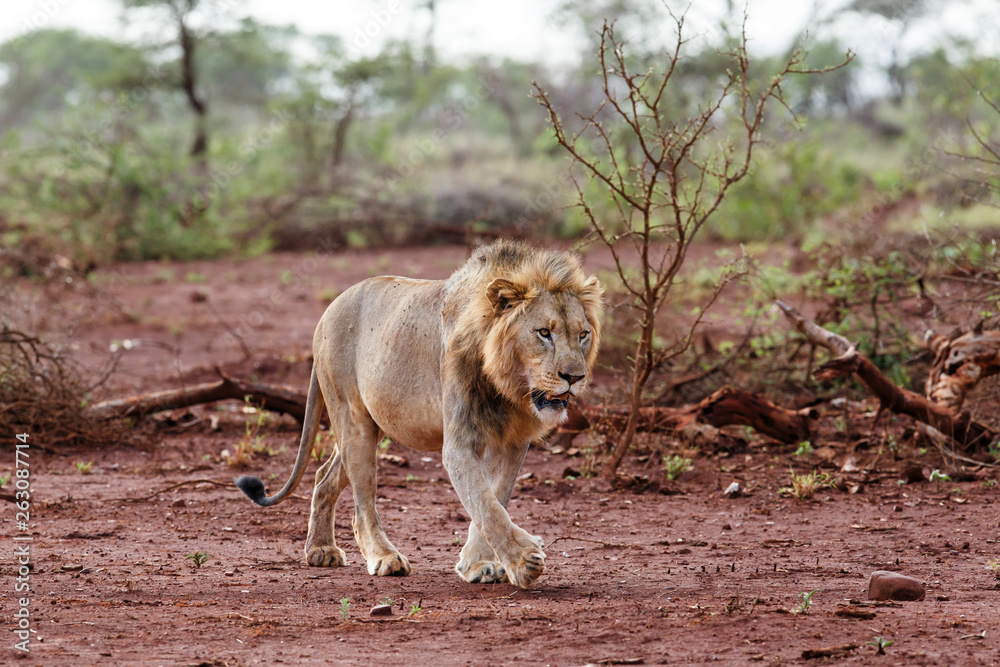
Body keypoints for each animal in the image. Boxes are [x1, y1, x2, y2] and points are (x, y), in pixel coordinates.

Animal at [235, 239, 603, 588]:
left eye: (583, 335)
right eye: (544, 333)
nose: (575, 377)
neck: (509, 387)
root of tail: (328, 310)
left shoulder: (513, 442)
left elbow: (494, 498)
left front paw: (477, 564)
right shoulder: (459, 442)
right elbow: (485, 504)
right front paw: (524, 561)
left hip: (369, 426)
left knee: (325, 476)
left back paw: (320, 549)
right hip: (352, 419)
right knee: (362, 502)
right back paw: (384, 557)